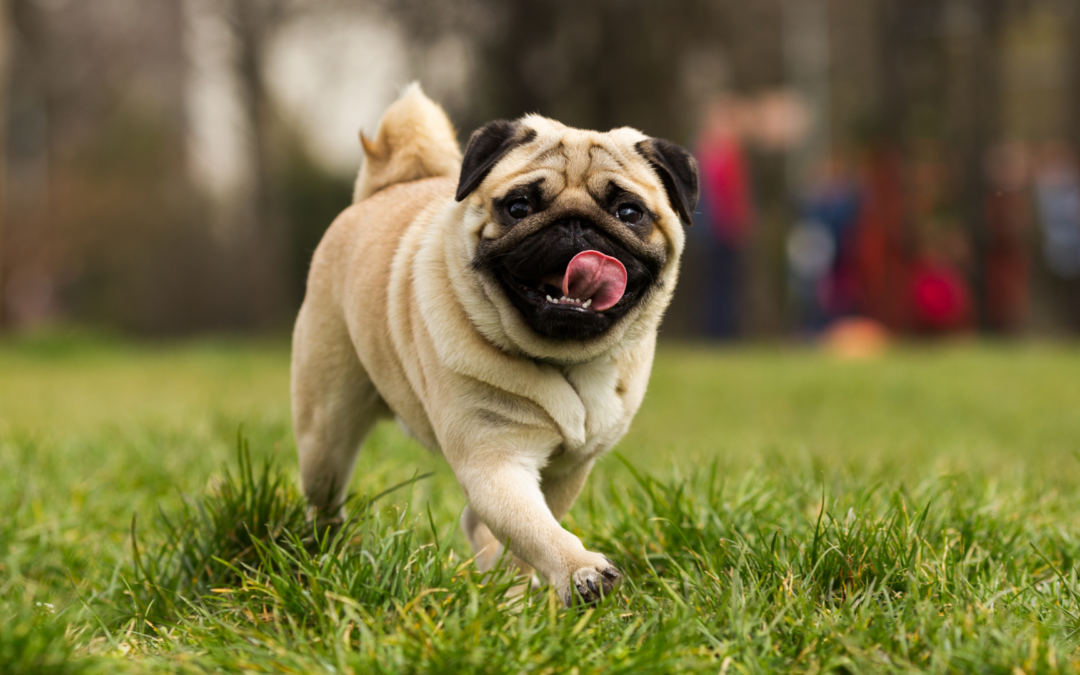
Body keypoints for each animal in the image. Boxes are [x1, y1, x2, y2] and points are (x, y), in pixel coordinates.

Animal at [291, 84, 695, 604]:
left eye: (629, 213)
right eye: (519, 207)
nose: (576, 225)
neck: (564, 359)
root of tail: (384, 187)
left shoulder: (565, 470)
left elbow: (528, 530)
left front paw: (519, 586)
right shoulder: (495, 461)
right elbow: (535, 527)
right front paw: (579, 570)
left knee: (476, 524)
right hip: (324, 429)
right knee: (324, 493)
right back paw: (324, 551)